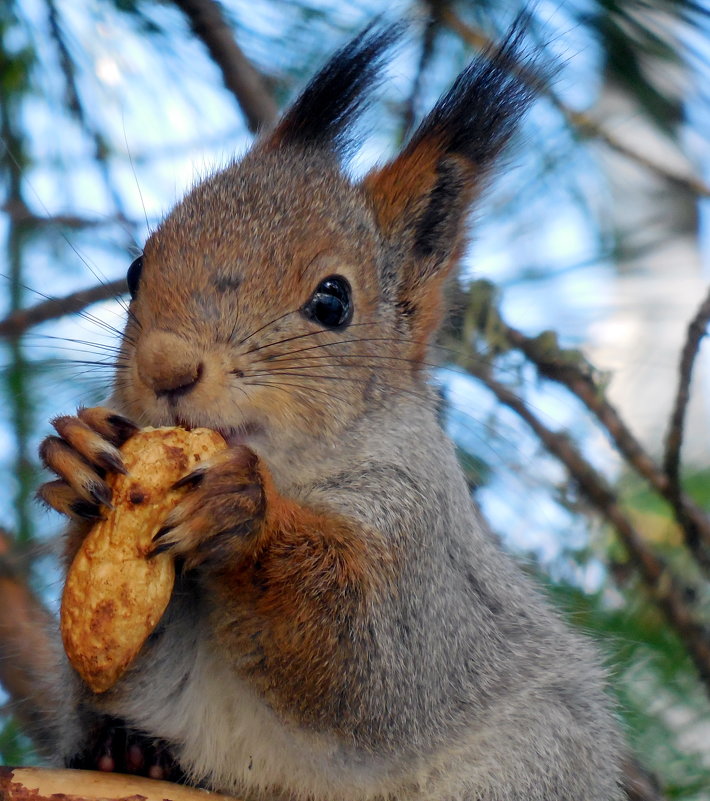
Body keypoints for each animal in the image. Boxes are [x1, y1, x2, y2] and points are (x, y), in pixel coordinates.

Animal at [36, 17, 624, 800]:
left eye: (332, 301)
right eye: (135, 270)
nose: (167, 366)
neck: (289, 467)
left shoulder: (420, 544)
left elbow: (366, 659)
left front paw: (241, 510)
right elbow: (107, 652)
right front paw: (76, 454)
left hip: (536, 757)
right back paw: (128, 752)